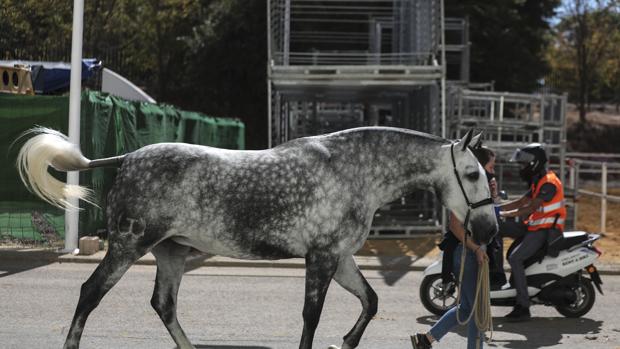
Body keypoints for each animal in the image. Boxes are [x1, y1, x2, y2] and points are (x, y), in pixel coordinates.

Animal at [15, 125, 498, 348]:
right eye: (474, 174)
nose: (489, 230)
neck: (354, 170)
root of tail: (128, 157)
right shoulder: (321, 258)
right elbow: (310, 316)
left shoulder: (340, 259)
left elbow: (371, 301)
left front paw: (345, 342)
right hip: (129, 246)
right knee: (90, 292)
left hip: (172, 252)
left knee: (163, 304)